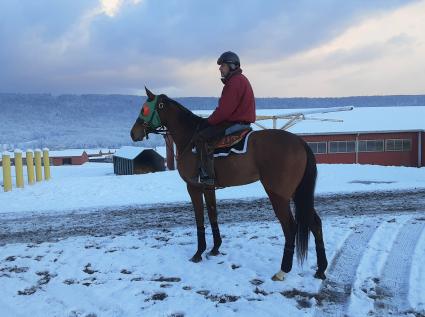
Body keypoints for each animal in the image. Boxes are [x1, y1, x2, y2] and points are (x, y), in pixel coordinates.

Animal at [131, 86, 326, 278]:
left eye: (144, 109)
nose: (133, 133)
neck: (190, 139)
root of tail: (300, 142)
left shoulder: (193, 187)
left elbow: (199, 218)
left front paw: (198, 253)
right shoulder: (208, 187)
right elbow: (212, 215)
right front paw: (215, 248)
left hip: (278, 195)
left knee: (291, 227)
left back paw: (283, 270)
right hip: (298, 193)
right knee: (315, 223)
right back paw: (321, 269)